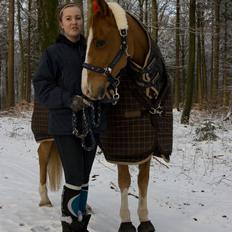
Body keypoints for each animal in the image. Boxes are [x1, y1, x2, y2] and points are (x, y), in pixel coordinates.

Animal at [81, 0, 172, 232]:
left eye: (100, 42)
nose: (87, 89)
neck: (145, 86)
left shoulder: (146, 147)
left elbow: (143, 182)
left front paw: (145, 219)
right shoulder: (122, 150)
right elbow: (124, 182)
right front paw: (126, 221)